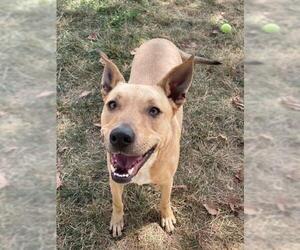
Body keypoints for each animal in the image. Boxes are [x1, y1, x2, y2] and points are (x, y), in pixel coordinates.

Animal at [99, 37, 219, 236]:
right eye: (112, 104)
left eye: (154, 110)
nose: (120, 136)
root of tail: (161, 39)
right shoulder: (113, 179)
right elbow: (117, 203)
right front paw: (117, 221)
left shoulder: (168, 181)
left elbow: (165, 201)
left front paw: (167, 217)